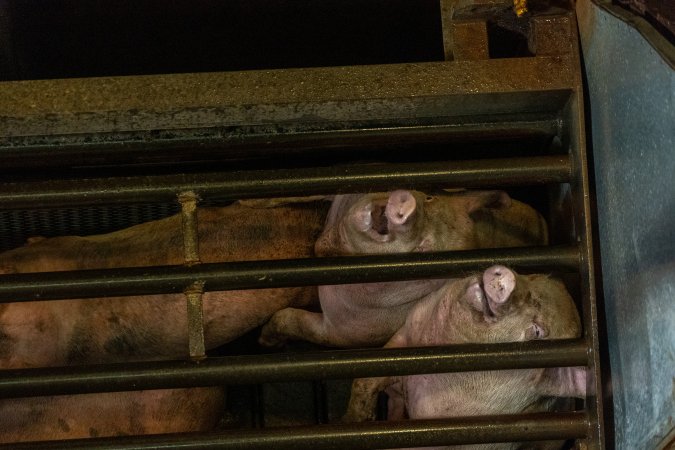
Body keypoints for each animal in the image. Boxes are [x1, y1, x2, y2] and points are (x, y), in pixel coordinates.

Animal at [258, 190, 548, 348]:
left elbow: (291, 320)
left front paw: (266, 340)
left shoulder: (347, 333)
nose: (405, 208)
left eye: (424, 248)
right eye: (429, 198)